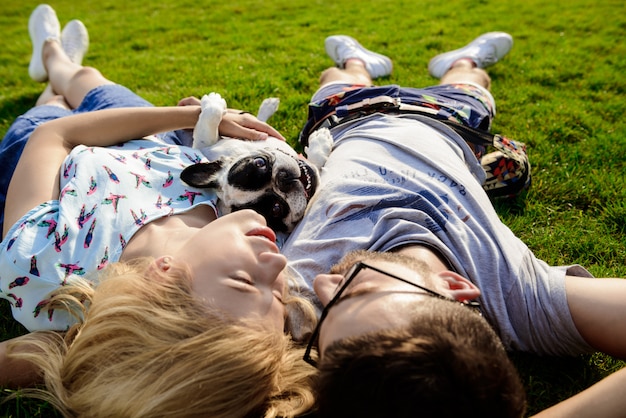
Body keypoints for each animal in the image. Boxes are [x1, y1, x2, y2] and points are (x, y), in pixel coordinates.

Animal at [179, 92, 332, 233]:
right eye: (276, 208)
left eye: (260, 163)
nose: (282, 180)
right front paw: (321, 143)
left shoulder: (207, 146)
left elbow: (208, 124)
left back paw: (267, 106)